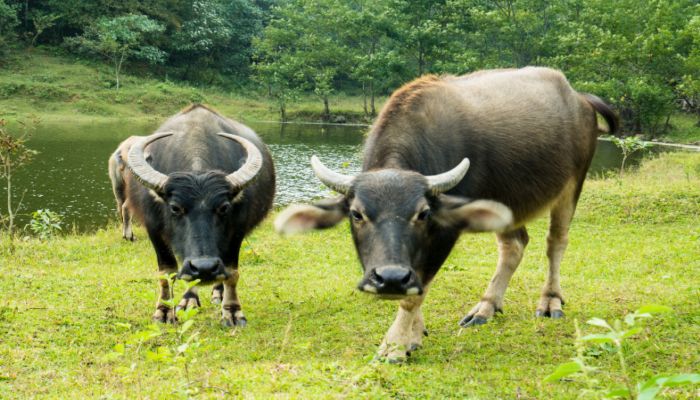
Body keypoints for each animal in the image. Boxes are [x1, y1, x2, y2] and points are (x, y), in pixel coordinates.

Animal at [121, 104, 274, 326]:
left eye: (224, 207)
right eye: (175, 208)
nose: (205, 268)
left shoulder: (237, 231)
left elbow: (231, 272)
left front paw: (232, 311)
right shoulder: (154, 229)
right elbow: (166, 272)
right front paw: (164, 311)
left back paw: (218, 294)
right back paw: (189, 300)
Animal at [274, 67, 616, 360]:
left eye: (423, 213)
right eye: (357, 215)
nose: (390, 279)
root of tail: (579, 98)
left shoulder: (445, 232)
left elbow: (416, 291)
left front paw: (394, 346)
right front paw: (414, 334)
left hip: (573, 183)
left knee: (556, 241)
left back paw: (550, 300)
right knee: (514, 245)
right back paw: (485, 308)